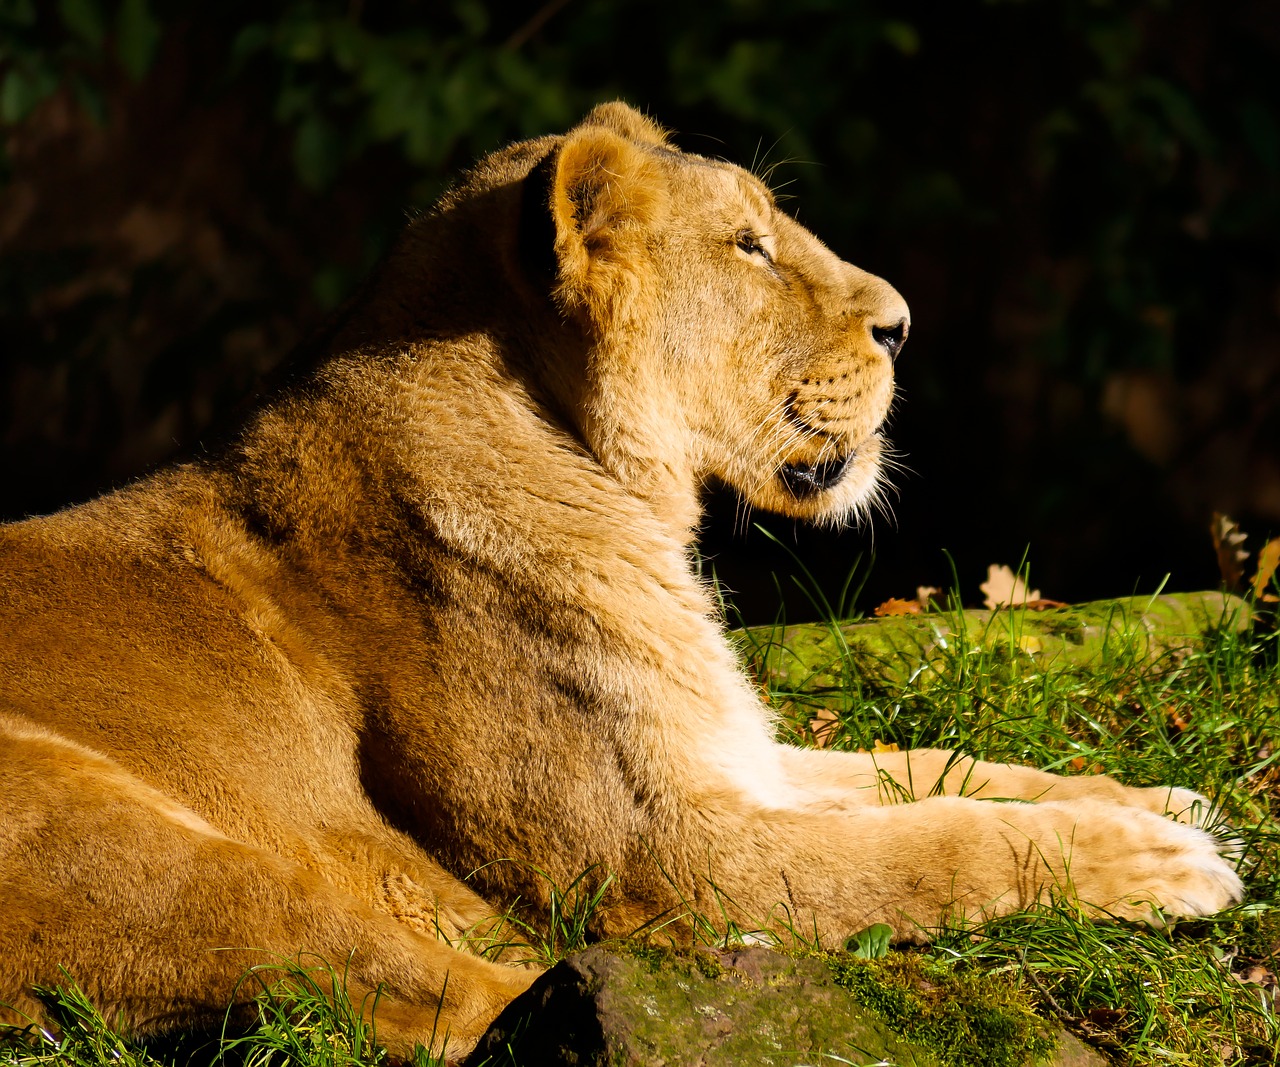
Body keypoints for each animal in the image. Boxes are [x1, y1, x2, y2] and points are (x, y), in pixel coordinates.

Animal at [0, 101, 1239, 1054]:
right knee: (453, 1008)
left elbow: (932, 768)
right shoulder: (657, 857)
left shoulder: (720, 752)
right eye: (747, 245)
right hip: (144, 843)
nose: (900, 323)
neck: (625, 491)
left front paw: (1153, 800)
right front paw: (1158, 859)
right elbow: (930, 842)